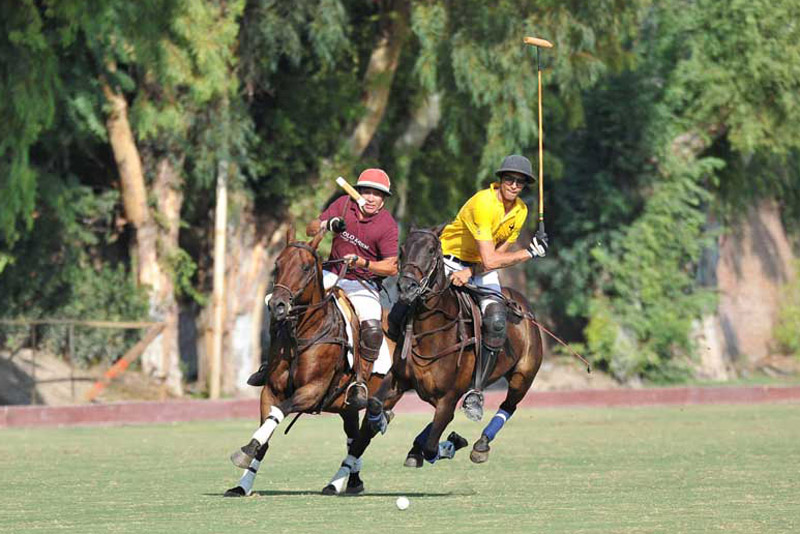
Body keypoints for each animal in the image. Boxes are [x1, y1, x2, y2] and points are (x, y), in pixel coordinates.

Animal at [225, 227, 394, 498]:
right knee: (353, 437)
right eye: (277, 264)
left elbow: (279, 411)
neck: (303, 333)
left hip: (382, 396)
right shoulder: (271, 390)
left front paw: (245, 452)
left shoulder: (313, 390)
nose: (277, 305)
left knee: (363, 438)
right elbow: (267, 429)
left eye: (305, 267)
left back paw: (337, 482)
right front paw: (243, 484)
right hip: (345, 405)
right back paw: (352, 480)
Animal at [350, 226, 544, 468]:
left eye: (432, 250)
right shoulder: (400, 380)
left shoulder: (448, 397)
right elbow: (376, 403)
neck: (431, 333)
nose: (406, 287)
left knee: (509, 405)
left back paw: (481, 444)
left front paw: (450, 445)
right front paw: (381, 421)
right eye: (402, 249)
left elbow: (432, 447)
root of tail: (522, 304)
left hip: (523, 374)